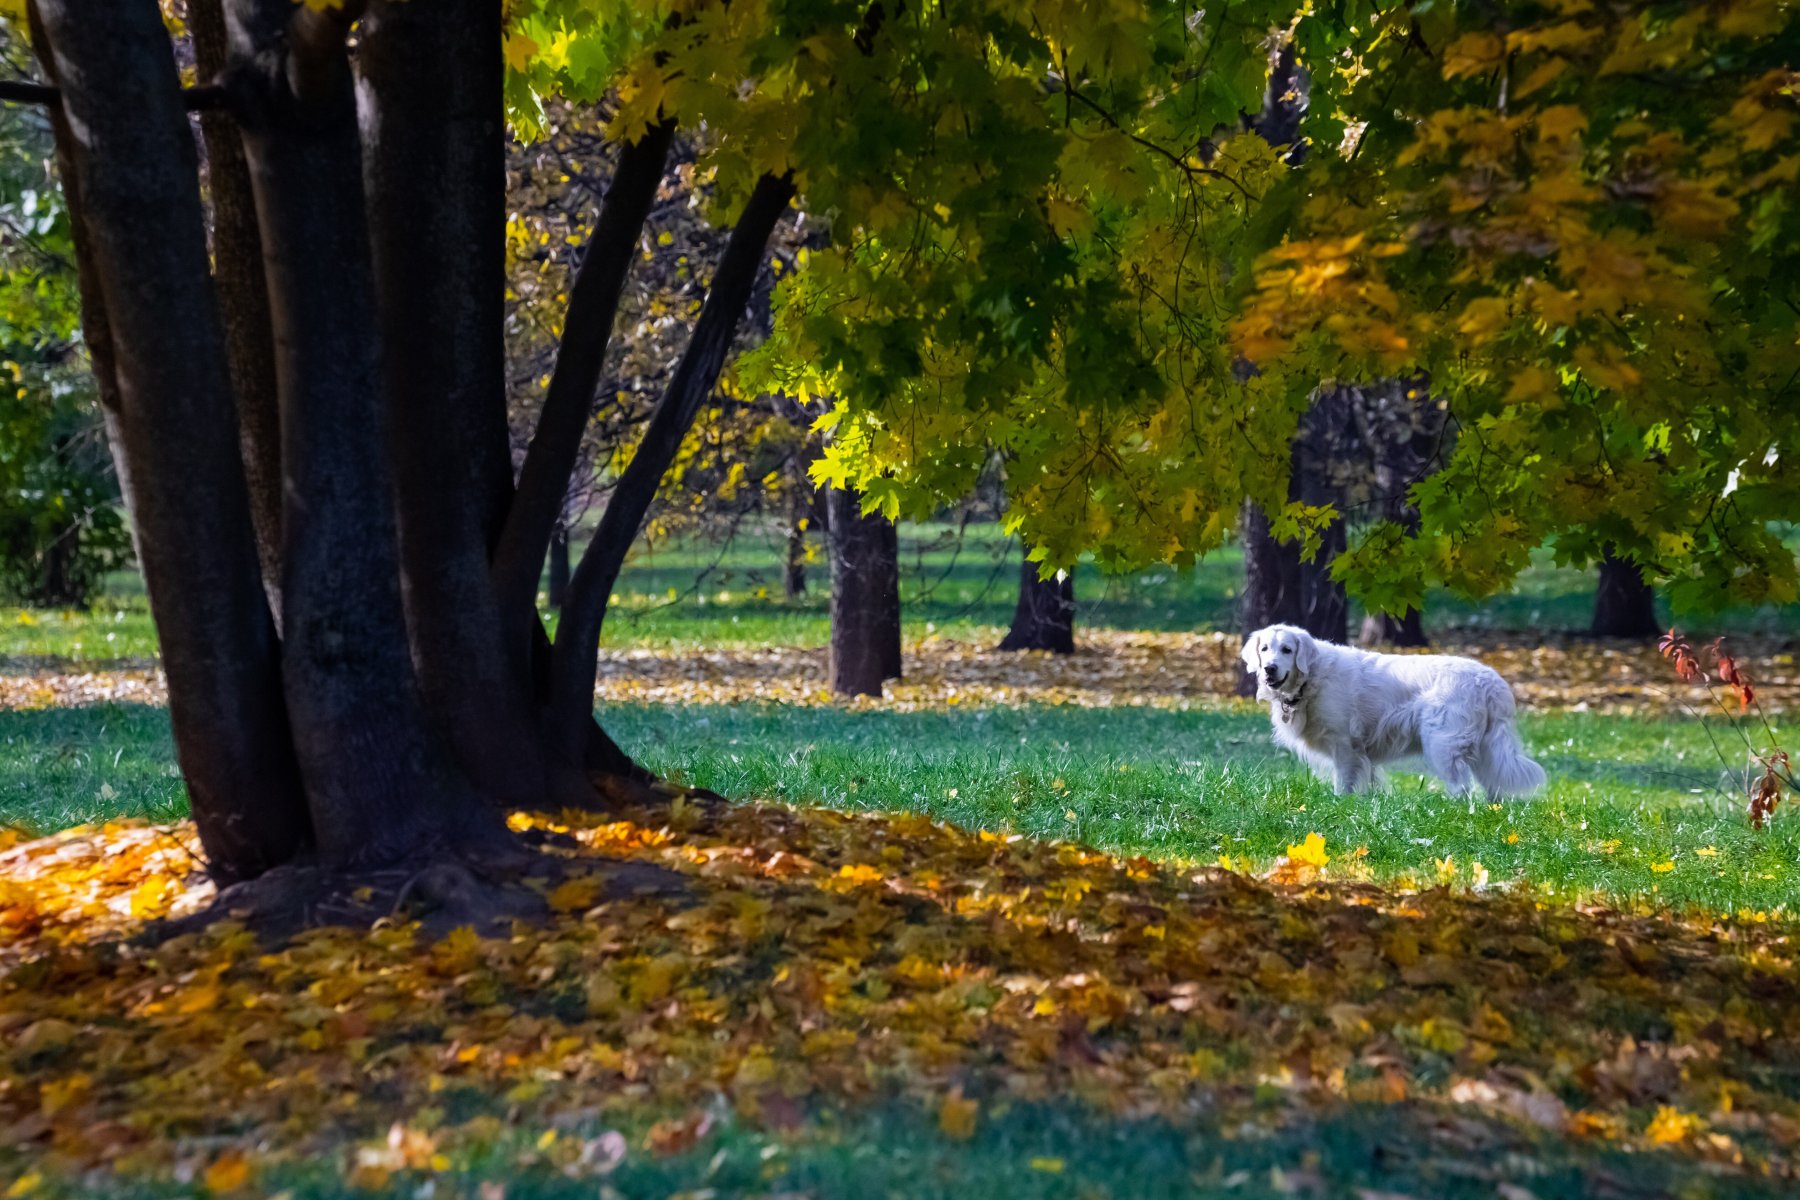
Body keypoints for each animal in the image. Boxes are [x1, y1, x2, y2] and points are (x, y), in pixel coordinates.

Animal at [1238, 626, 1548, 802]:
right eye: (1264, 649)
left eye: (1287, 650)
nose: (1269, 668)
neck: (1311, 678)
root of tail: (1490, 681)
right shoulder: (1361, 753)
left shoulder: (1345, 744)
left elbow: (1344, 782)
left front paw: (1340, 805)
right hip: (1485, 750)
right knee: (1492, 785)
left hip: (1442, 744)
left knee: (1461, 789)